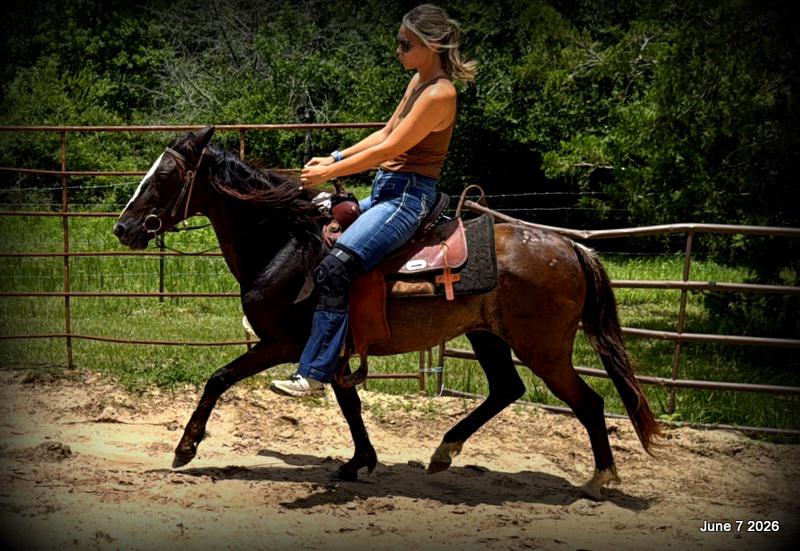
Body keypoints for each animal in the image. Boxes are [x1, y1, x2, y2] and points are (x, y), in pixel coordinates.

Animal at [114, 127, 659, 499]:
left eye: (165, 176)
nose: (123, 228)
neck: (287, 243)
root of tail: (570, 248)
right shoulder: (332, 348)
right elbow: (349, 403)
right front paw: (359, 461)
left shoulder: (285, 344)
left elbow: (219, 378)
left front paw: (186, 448)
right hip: (487, 335)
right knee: (507, 389)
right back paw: (443, 453)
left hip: (543, 350)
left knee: (589, 403)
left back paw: (600, 479)